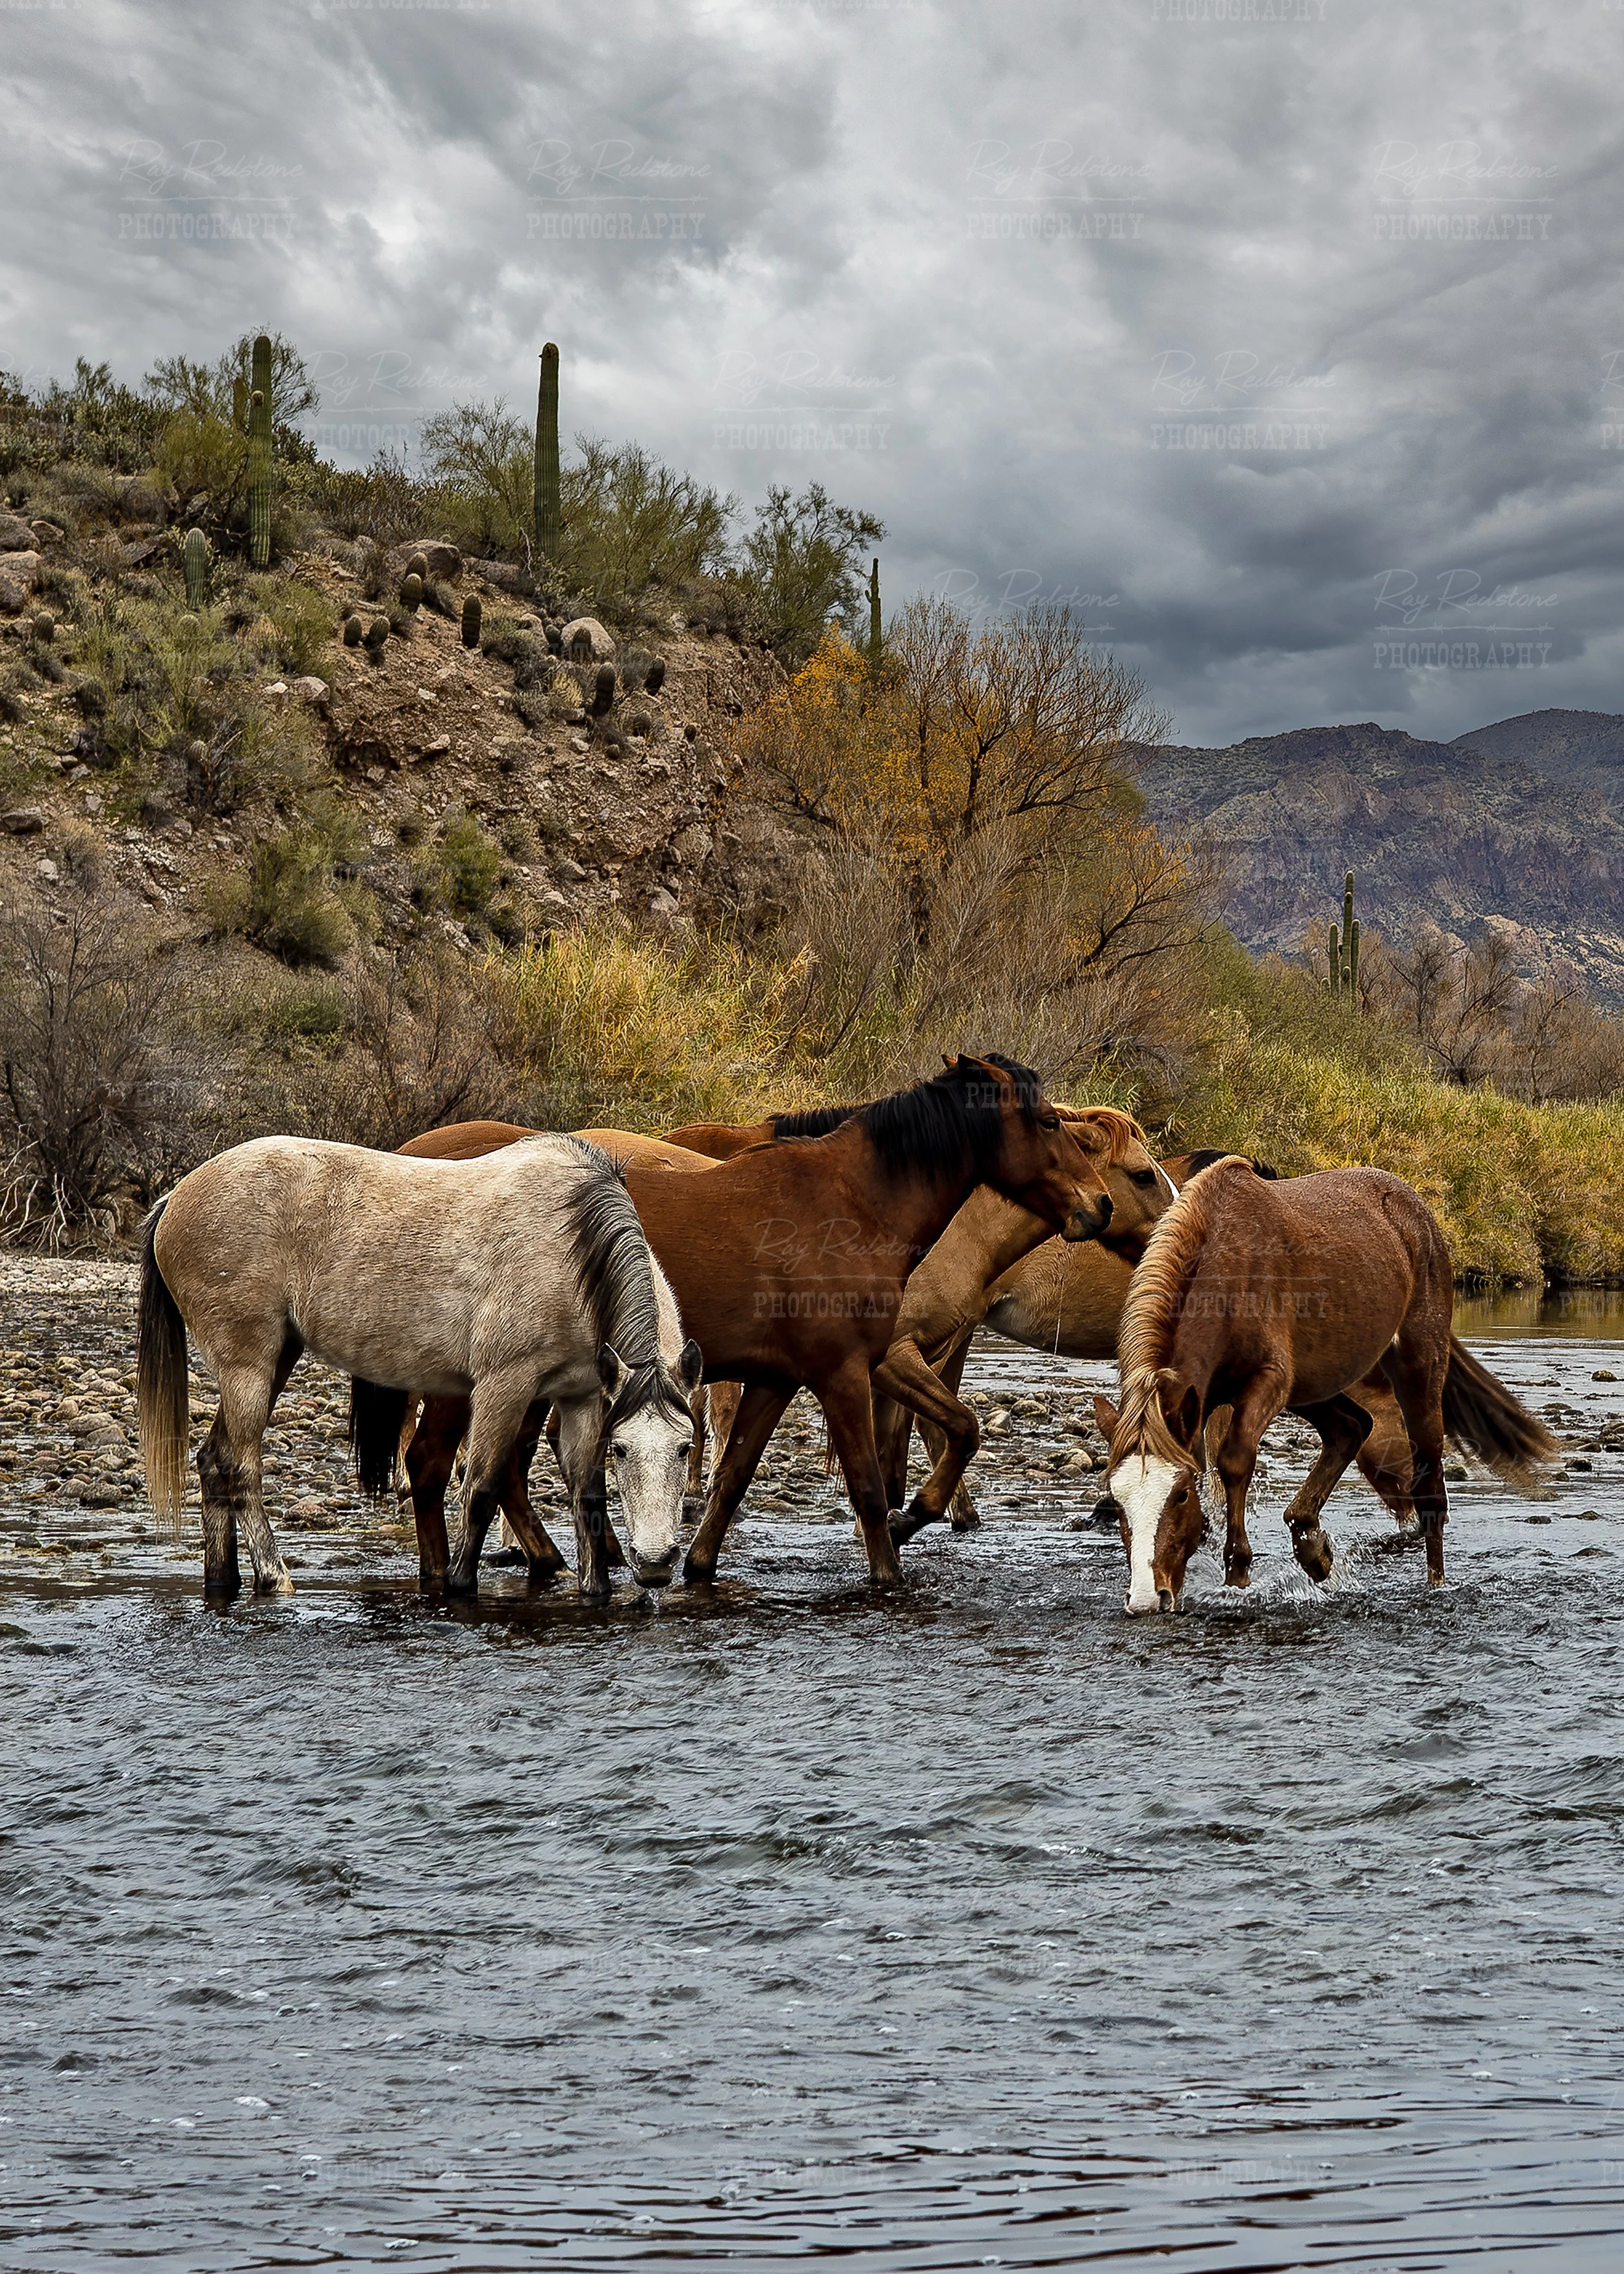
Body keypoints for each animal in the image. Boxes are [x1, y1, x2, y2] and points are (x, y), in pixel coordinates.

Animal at [135, 1134, 701, 1601]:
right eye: (622, 1449)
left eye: (684, 1446)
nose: (655, 1563)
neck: (571, 1247)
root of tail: (174, 1199)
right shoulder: (505, 1386)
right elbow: (482, 1488)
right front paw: (459, 1585)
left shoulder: (582, 1396)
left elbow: (587, 1495)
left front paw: (597, 1590)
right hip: (248, 1365)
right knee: (239, 1466)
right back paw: (275, 1576)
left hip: (276, 1359)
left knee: (214, 1460)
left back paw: (223, 1579)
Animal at [397, 1056, 1117, 1589]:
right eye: (1048, 1123)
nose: (1100, 1205)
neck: (850, 1206)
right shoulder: (842, 1375)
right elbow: (866, 1486)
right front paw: (889, 1568)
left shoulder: (777, 1378)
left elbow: (733, 1476)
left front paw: (696, 1565)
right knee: (436, 1466)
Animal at [1091, 1156, 1557, 1613]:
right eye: (1116, 1502)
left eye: (1181, 1494)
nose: (1147, 1599)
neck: (1224, 1269)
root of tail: (1416, 1212)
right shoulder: (1210, 1398)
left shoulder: (1268, 1381)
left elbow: (1235, 1461)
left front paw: (1238, 1573)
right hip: (1312, 1389)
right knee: (1352, 1428)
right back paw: (1313, 1546)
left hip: (1418, 1367)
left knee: (1428, 1491)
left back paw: (1434, 1586)